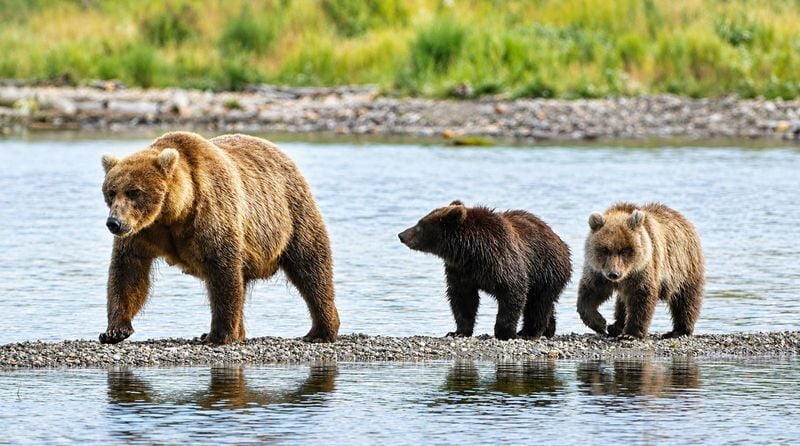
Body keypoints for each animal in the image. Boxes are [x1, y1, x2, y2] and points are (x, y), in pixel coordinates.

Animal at [99, 131, 339, 345]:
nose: (114, 223)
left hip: (290, 212)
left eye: (134, 191)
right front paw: (114, 331)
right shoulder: (142, 233)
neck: (174, 214)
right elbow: (128, 271)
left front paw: (219, 335)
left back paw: (321, 331)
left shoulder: (211, 212)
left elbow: (222, 272)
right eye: (111, 192)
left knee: (310, 266)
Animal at [398, 201, 572, 340]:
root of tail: (559, 240)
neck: (470, 251)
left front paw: (504, 333)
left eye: (419, 225)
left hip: (545, 269)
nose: (401, 235)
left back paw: (530, 333)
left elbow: (512, 292)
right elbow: (463, 299)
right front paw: (458, 332)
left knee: (539, 304)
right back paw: (548, 330)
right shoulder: (460, 271)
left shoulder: (502, 260)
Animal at [576, 202, 704, 340]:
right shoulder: (598, 271)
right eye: (605, 250)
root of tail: (682, 218)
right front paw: (600, 323)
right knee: (622, 301)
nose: (614, 274)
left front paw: (631, 333)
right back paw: (615, 326)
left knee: (685, 298)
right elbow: (591, 292)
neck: (626, 274)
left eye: (625, 250)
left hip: (684, 266)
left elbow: (641, 296)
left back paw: (679, 330)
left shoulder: (643, 268)